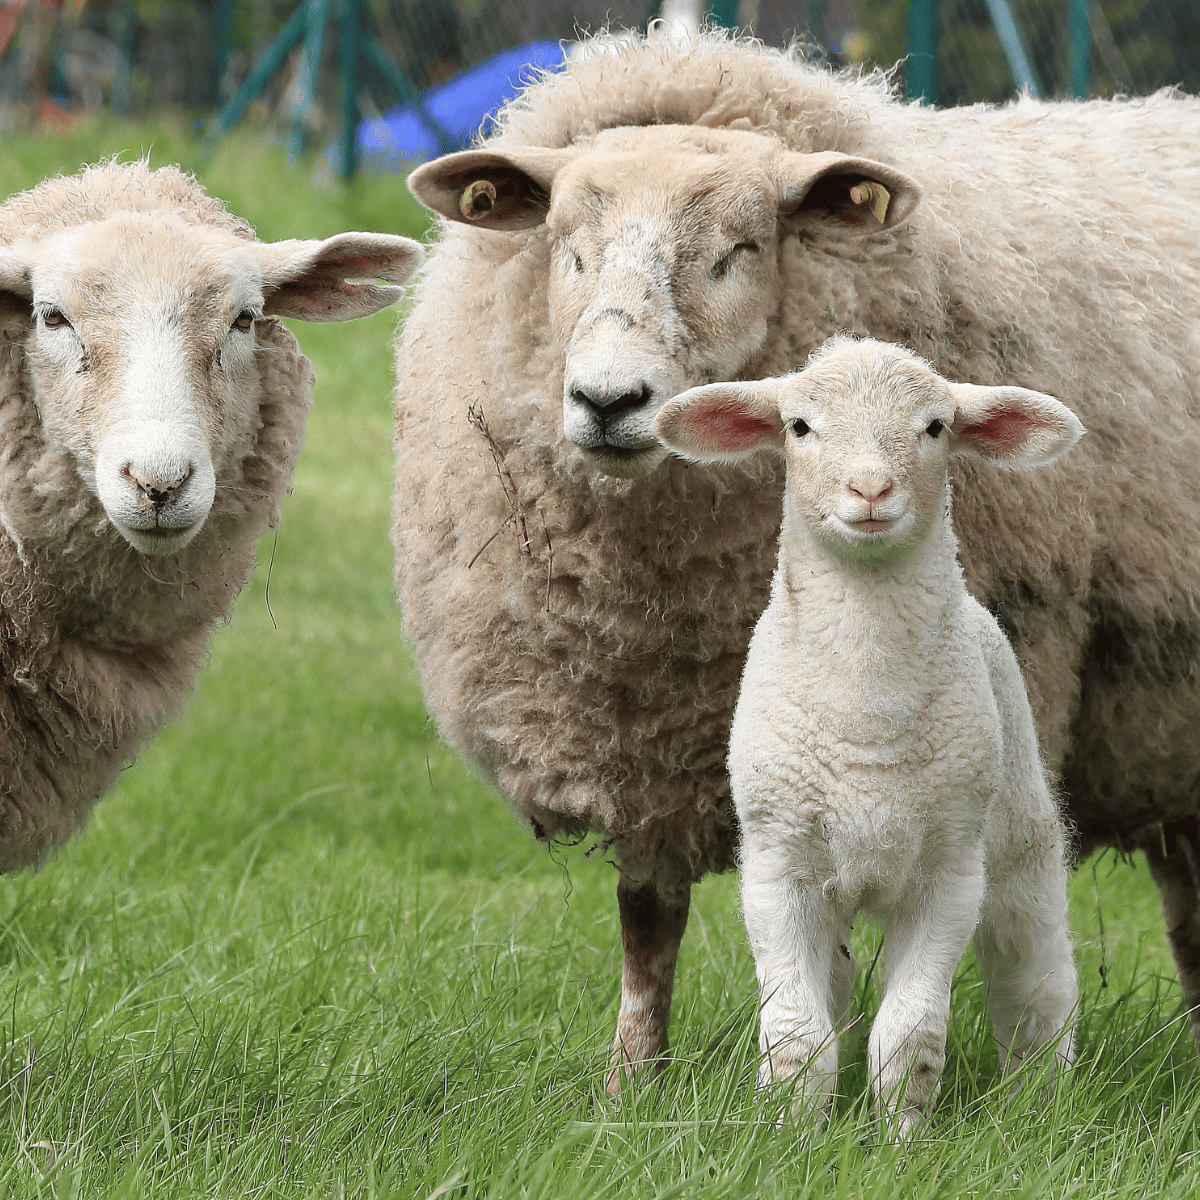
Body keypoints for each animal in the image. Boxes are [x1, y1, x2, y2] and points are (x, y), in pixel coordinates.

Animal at [652, 338, 1084, 1132]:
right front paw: (793, 1131)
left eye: (936, 427)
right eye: (798, 426)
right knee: (838, 985)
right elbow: (797, 1036)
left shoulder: (950, 872)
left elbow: (910, 1037)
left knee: (1035, 977)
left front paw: (902, 1138)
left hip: (1018, 835)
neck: (867, 719)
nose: (872, 490)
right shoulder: (778, 865)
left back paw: (1041, 1101)